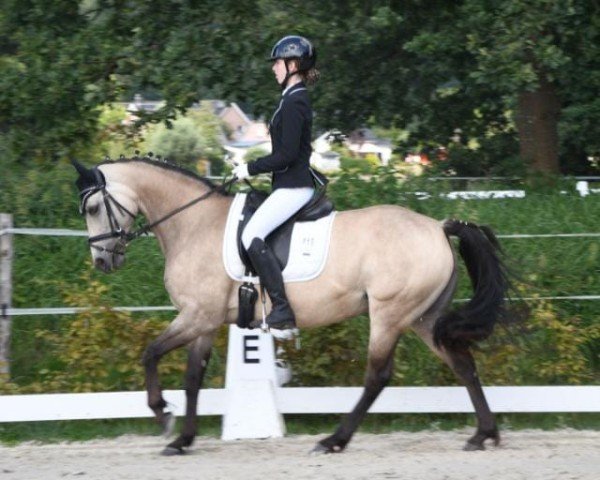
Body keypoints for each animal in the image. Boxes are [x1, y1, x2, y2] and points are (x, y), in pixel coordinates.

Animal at [72, 158, 516, 458]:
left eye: (92, 209)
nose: (102, 262)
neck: (193, 224)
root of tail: (438, 226)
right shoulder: (205, 321)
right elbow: (193, 378)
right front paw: (182, 439)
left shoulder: (197, 316)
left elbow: (150, 353)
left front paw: (162, 415)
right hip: (423, 318)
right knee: (463, 364)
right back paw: (484, 434)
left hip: (389, 315)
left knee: (378, 376)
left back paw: (334, 441)